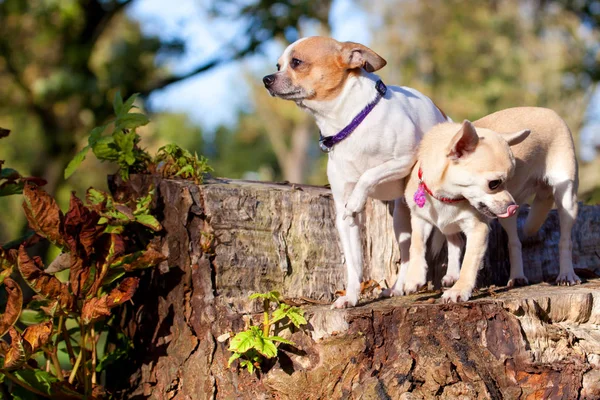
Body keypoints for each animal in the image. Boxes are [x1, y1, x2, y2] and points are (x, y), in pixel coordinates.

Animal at [400, 108, 580, 302]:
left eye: (510, 180)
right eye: (494, 184)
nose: (513, 206)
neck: (447, 199)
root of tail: (549, 111)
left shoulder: (479, 229)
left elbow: (469, 262)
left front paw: (459, 290)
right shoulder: (420, 220)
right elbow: (416, 245)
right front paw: (413, 279)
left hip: (566, 198)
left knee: (565, 240)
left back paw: (567, 274)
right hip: (505, 219)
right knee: (511, 242)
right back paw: (514, 276)